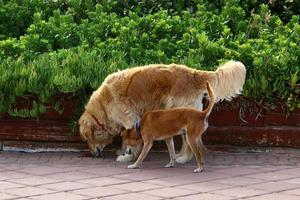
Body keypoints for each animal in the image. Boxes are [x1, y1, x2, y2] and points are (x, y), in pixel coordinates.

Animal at [78, 60, 246, 162]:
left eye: (87, 139)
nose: (92, 154)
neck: (103, 106)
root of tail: (194, 73)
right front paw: (124, 152)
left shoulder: (130, 120)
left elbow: (130, 142)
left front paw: (128, 156)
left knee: (188, 142)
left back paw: (183, 158)